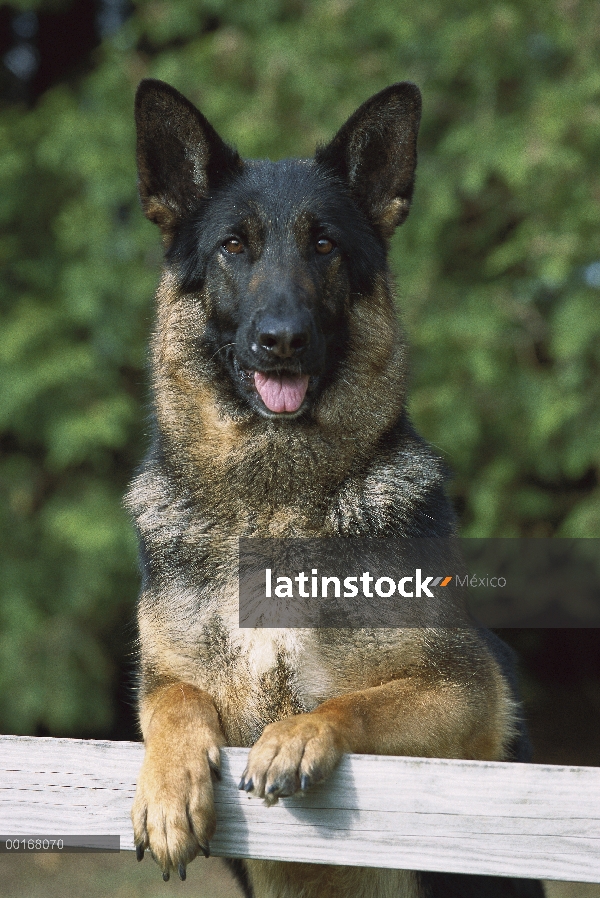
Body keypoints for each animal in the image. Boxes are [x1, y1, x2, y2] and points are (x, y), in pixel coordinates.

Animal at [126, 79, 544, 896]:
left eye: (324, 246)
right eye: (233, 246)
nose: (282, 339)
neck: (274, 503)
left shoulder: (470, 697)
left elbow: (359, 700)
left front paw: (297, 734)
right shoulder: (162, 681)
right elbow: (176, 701)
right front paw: (166, 791)